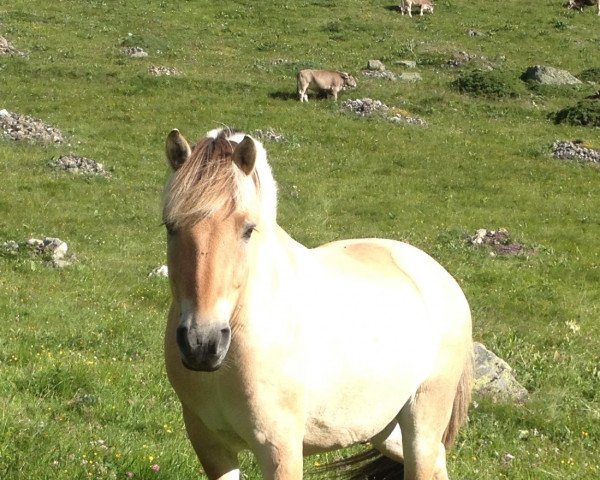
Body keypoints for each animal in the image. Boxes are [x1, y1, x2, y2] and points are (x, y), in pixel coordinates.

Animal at [162, 127, 472, 480]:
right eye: (170, 226)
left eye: (249, 229)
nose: (202, 343)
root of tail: (439, 275)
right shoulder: (211, 447)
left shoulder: (280, 449)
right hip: (386, 430)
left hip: (422, 425)